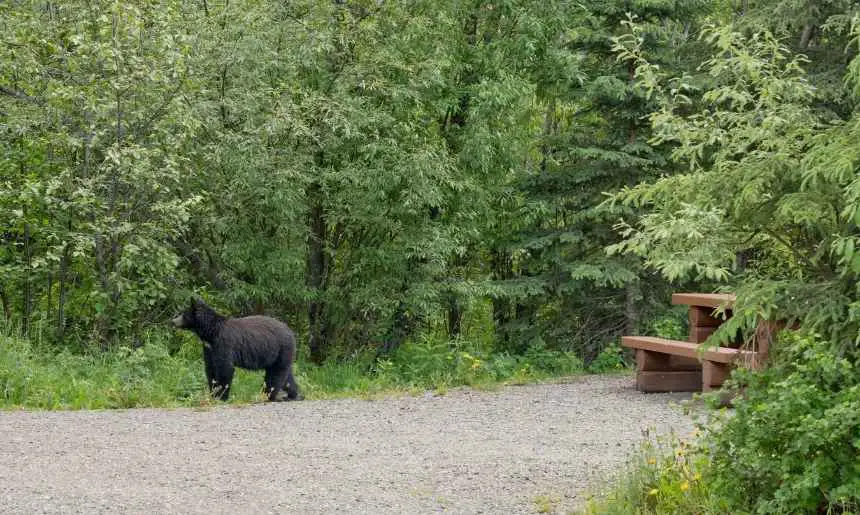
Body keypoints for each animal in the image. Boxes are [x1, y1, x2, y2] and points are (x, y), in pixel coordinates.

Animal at [170, 298, 300, 404]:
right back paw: (293, 395)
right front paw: (213, 394)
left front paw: (221, 397)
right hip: (280, 354)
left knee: (276, 374)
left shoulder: (224, 344)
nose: (173, 321)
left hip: (281, 348)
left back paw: (268, 396)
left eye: (183, 314)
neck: (211, 332)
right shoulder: (209, 349)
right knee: (286, 375)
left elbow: (225, 368)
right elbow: (210, 368)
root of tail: (291, 332)